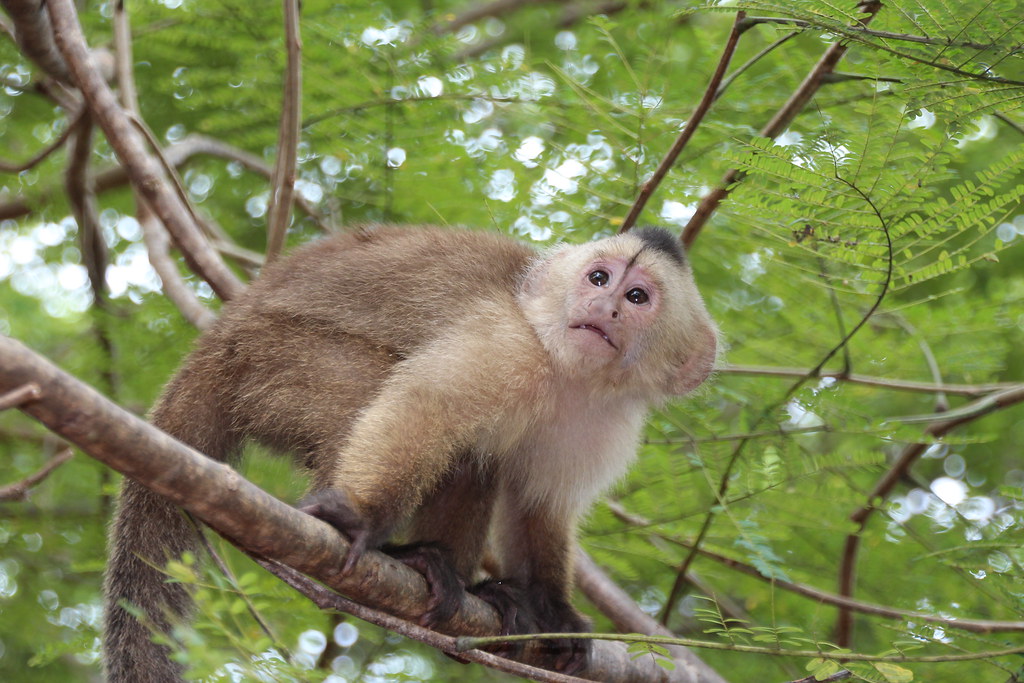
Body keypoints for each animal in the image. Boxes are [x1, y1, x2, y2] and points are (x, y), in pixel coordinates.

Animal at [103, 224, 717, 682]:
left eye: (637, 297)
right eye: (599, 277)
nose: (605, 305)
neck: (570, 375)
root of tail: (216, 337)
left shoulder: (605, 422)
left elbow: (539, 504)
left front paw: (553, 611)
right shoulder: (511, 343)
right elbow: (428, 404)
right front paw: (358, 515)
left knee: (476, 462)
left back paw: (463, 582)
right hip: (267, 357)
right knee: (381, 390)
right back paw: (401, 555)